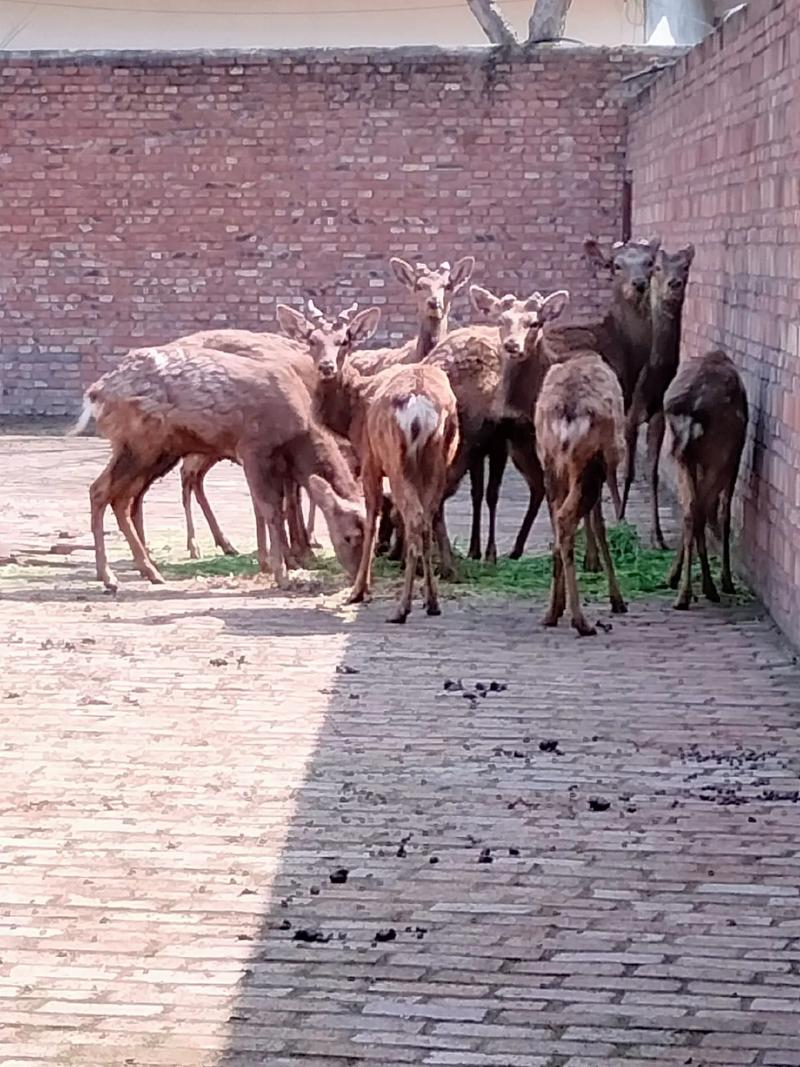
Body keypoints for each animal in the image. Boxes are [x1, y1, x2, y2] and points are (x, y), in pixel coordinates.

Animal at [69, 341, 368, 593]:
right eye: (349, 536)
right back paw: (109, 577)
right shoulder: (253, 447)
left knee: (121, 498)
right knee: (100, 490)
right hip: (138, 444)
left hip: (158, 451)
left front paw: (282, 564)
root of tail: (95, 394)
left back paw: (150, 571)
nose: (357, 577)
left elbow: (278, 507)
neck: (300, 433)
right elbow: (270, 509)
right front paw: (281, 574)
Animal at [343, 364, 460, 623]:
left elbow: (371, 518)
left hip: (397, 461)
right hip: (437, 463)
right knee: (425, 520)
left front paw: (358, 591)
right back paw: (432, 601)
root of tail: (420, 414)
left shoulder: (370, 460)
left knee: (414, 518)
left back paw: (401, 608)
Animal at [535, 350, 628, 637]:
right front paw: (617, 600)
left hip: (552, 462)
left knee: (558, 520)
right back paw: (582, 621)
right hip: (590, 463)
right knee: (567, 518)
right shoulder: (607, 462)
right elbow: (599, 525)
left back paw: (552, 612)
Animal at [663, 349, 748, 611]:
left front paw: (672, 576)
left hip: (680, 455)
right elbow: (725, 512)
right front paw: (727, 580)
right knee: (702, 509)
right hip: (720, 453)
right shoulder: (734, 458)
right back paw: (708, 588)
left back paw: (683, 591)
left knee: (691, 510)